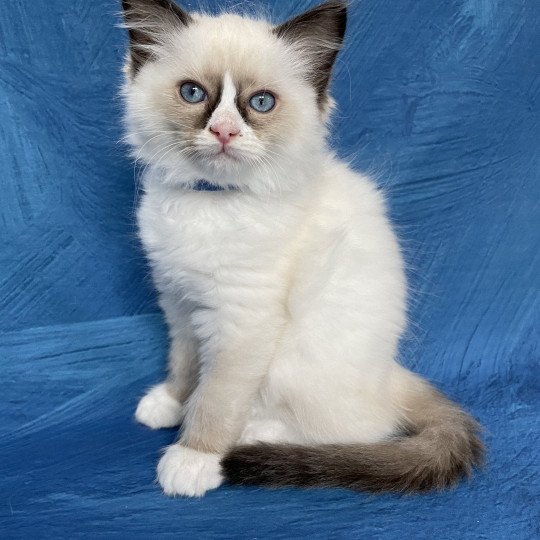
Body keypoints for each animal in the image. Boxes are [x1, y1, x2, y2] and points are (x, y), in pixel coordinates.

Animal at [120, 0, 484, 498]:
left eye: (260, 103)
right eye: (193, 94)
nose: (224, 133)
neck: (212, 202)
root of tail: (389, 373)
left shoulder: (243, 321)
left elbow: (216, 396)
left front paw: (195, 457)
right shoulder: (179, 301)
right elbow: (186, 363)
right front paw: (172, 403)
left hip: (298, 359)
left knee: (359, 428)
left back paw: (255, 435)